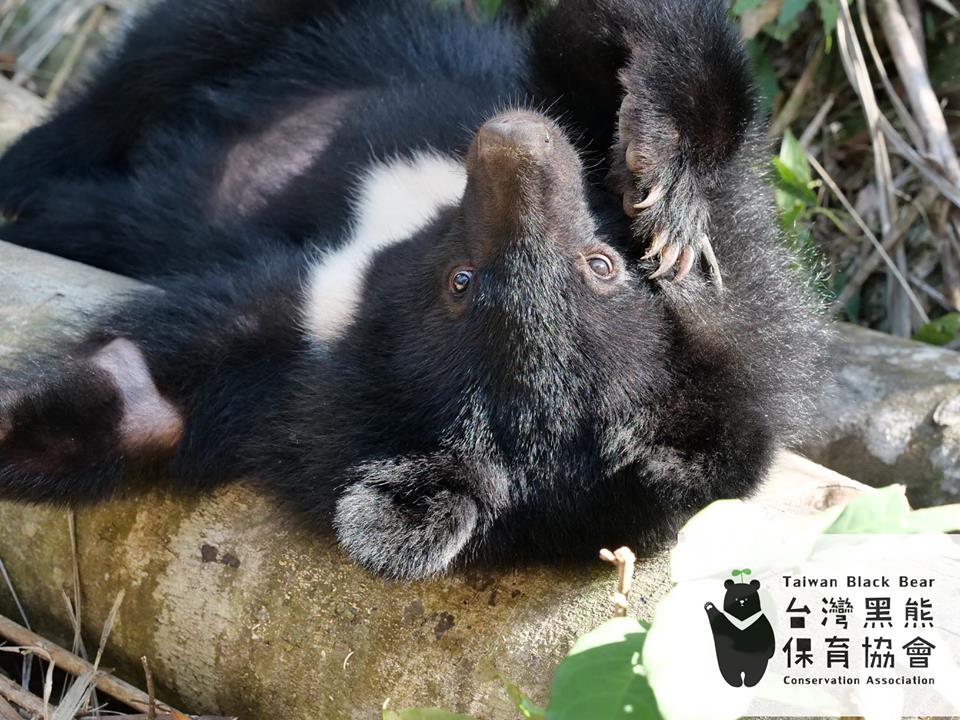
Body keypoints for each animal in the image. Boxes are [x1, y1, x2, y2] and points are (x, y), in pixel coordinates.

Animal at [0, 0, 831, 578]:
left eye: (599, 263)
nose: (513, 143)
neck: (392, 248)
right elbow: (590, 48)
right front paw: (664, 187)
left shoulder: (298, 360)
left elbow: (144, 396)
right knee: (154, 67)